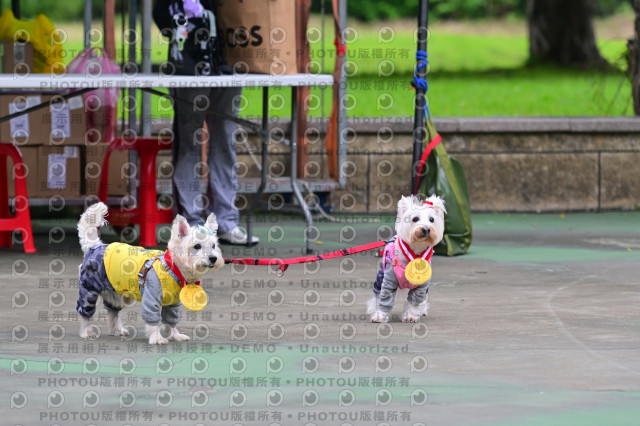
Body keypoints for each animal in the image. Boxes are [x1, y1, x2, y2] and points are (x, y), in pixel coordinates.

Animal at [76, 202, 224, 344]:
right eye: (197, 246)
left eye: (214, 246)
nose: (213, 258)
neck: (172, 268)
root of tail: (94, 246)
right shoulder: (151, 299)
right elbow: (153, 321)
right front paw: (157, 338)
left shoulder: (173, 303)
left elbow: (171, 320)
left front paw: (175, 336)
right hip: (89, 290)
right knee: (85, 312)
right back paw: (86, 332)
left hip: (115, 293)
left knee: (113, 312)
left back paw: (116, 330)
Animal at [366, 195, 446, 323]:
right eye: (415, 219)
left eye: (431, 220)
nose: (426, 229)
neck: (415, 249)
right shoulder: (389, 281)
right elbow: (384, 298)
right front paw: (380, 316)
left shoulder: (421, 285)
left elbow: (414, 301)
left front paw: (411, 316)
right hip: (380, 276)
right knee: (376, 293)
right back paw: (372, 309)